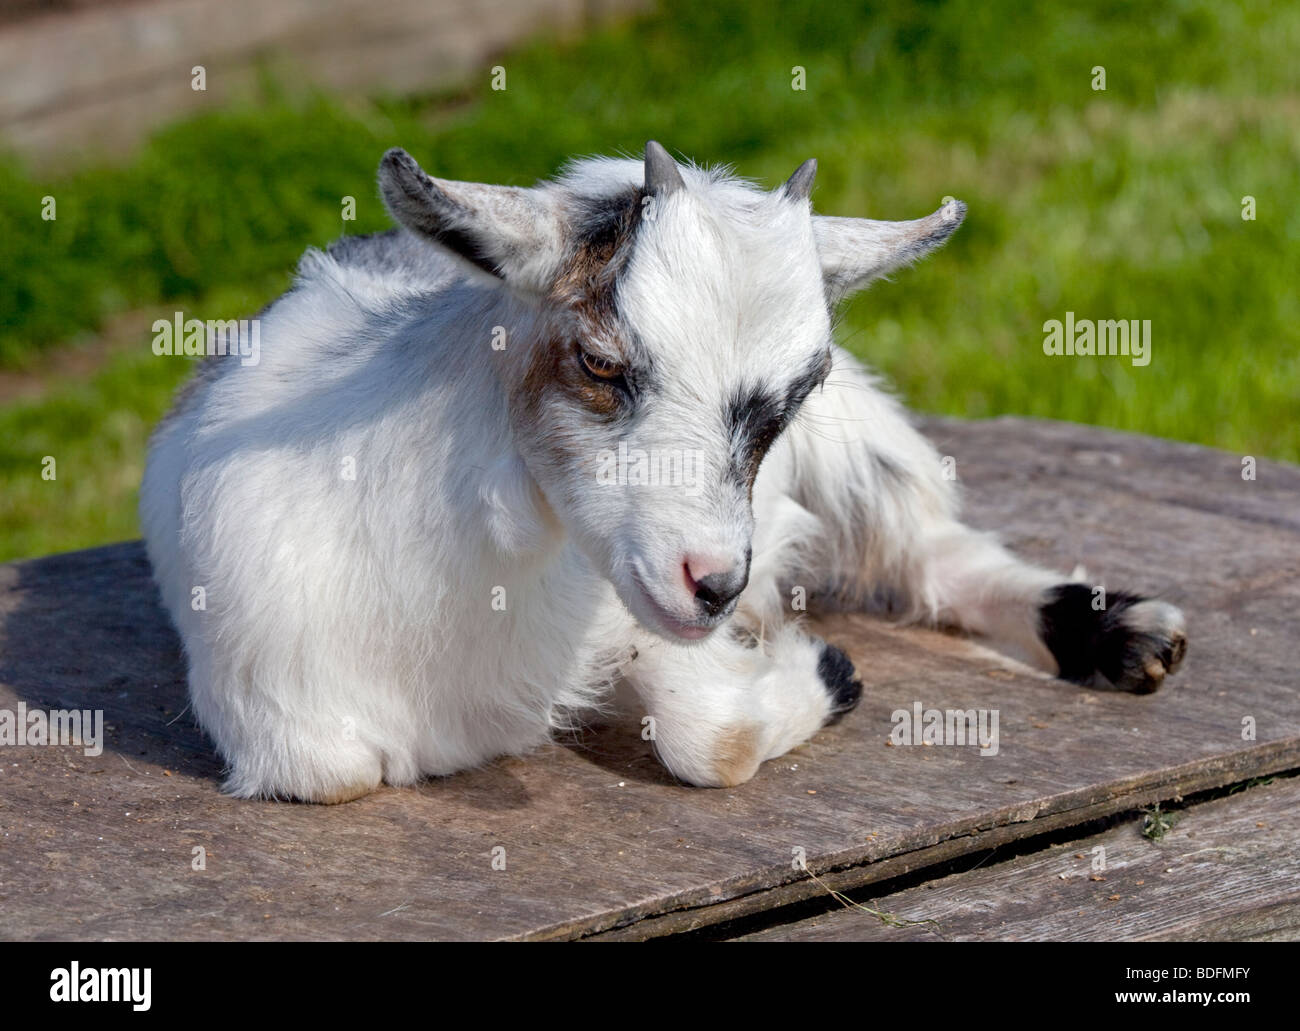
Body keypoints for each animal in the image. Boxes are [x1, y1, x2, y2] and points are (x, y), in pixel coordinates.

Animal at [142, 144, 1190, 800]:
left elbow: (707, 739)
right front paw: (819, 665)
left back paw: (1122, 631)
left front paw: (821, 668)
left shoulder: (643, 602)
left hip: (859, 439)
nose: (717, 582)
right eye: (601, 363)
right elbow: (340, 771)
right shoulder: (293, 734)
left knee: (928, 547)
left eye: (799, 386)